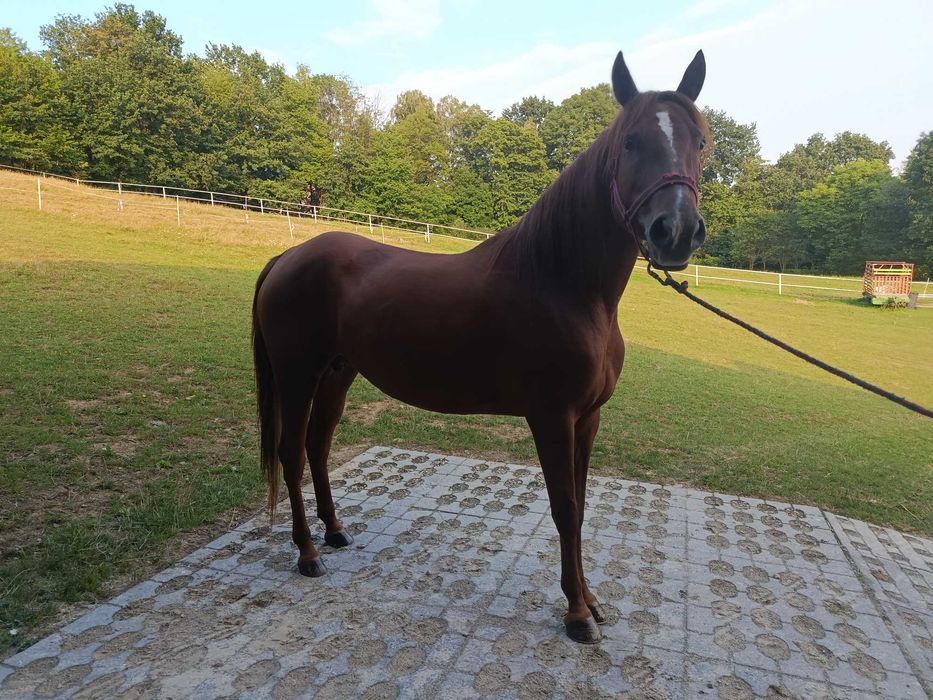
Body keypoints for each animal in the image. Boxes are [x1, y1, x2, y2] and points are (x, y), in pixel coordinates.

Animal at [252, 50, 710, 644]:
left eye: (699, 141)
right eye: (631, 141)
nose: (674, 232)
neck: (563, 284)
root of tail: (287, 257)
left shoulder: (588, 418)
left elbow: (582, 507)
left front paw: (590, 599)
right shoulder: (551, 417)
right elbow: (565, 509)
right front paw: (577, 613)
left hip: (337, 373)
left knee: (317, 448)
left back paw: (334, 532)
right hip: (297, 375)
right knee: (291, 453)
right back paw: (307, 553)